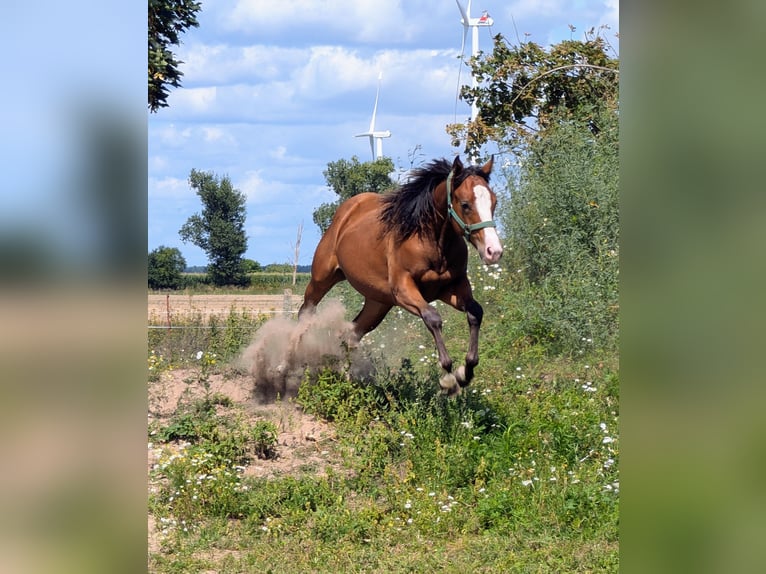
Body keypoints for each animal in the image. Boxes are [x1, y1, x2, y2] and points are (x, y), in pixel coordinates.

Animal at [300, 155, 504, 394]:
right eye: (465, 204)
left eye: (494, 202)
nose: (493, 251)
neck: (432, 242)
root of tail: (345, 213)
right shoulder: (404, 290)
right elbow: (433, 318)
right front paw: (448, 377)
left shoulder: (451, 287)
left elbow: (475, 312)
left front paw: (465, 372)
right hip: (322, 279)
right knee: (305, 312)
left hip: (378, 303)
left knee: (352, 333)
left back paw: (346, 378)